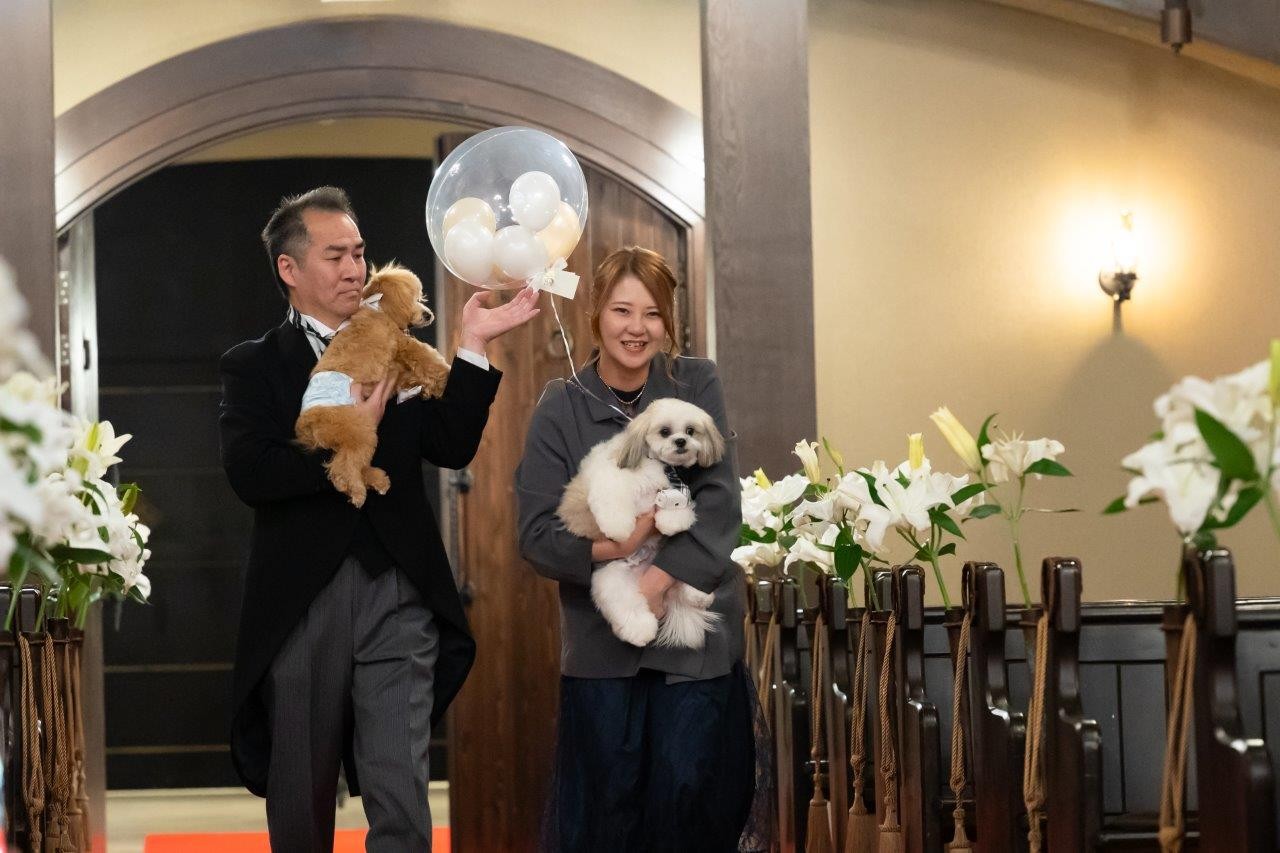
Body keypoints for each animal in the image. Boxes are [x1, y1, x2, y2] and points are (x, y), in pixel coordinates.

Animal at [295, 263, 450, 507]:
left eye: (419, 297)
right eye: (412, 298)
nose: (428, 314)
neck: (379, 310)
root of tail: (309, 425)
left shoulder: (396, 367)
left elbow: (410, 375)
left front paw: (425, 388)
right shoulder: (403, 345)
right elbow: (429, 359)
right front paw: (444, 377)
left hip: (352, 437)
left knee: (354, 463)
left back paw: (378, 481)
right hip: (359, 429)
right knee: (343, 467)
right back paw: (357, 492)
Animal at [557, 397, 726, 649]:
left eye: (690, 430)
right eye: (665, 431)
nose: (681, 441)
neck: (656, 463)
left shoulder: (675, 489)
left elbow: (677, 507)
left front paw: (672, 522)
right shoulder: (611, 479)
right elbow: (612, 502)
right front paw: (619, 527)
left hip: (667, 558)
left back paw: (699, 594)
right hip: (612, 578)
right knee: (627, 605)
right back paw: (640, 629)